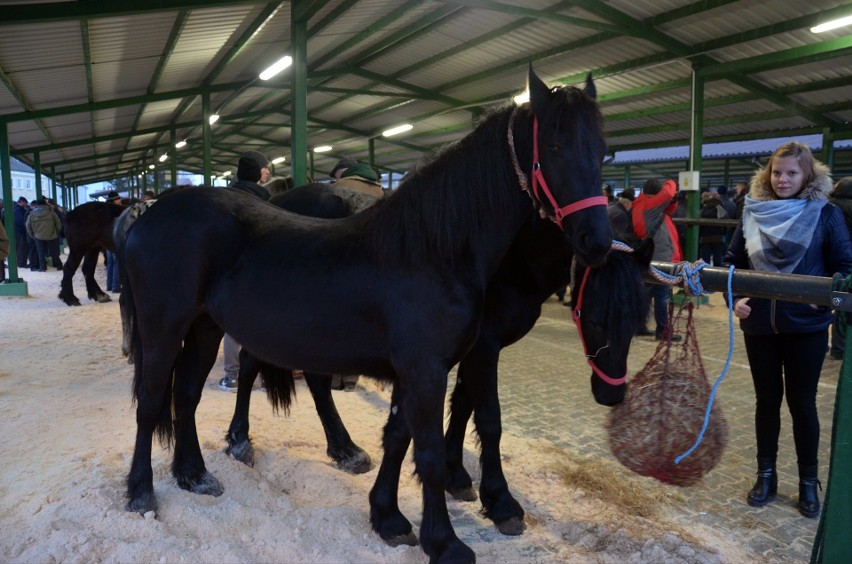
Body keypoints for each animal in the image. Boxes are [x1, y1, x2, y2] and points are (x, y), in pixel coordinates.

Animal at [121, 68, 612, 560]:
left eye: (603, 150)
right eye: (554, 147)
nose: (597, 241)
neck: (432, 251)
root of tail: (149, 212)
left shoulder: (416, 371)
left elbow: (397, 437)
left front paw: (388, 517)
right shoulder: (428, 369)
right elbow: (431, 452)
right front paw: (445, 541)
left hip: (205, 327)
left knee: (186, 394)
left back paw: (194, 475)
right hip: (163, 328)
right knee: (151, 401)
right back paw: (142, 492)